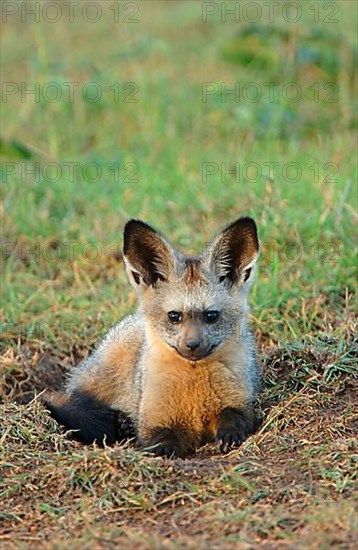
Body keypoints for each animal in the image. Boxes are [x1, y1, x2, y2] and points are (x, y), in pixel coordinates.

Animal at [46, 218, 262, 460]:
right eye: (174, 316)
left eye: (212, 316)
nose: (192, 345)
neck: (194, 385)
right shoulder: (153, 421)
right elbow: (159, 441)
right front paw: (163, 450)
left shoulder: (241, 403)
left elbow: (234, 418)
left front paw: (230, 435)